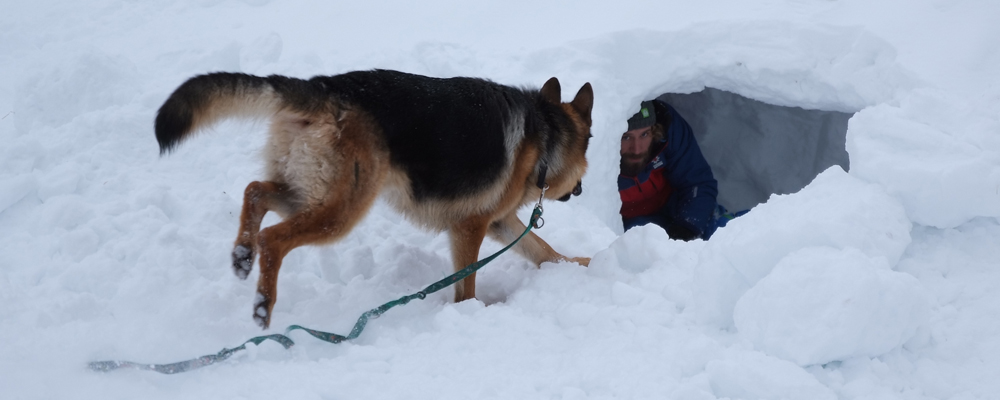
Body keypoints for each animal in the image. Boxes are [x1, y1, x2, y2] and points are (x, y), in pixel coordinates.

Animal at [156, 69, 592, 328]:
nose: (582, 190)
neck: (547, 134)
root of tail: (325, 88)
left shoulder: (500, 223)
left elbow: (543, 249)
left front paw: (579, 265)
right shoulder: (471, 227)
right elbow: (467, 283)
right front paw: (468, 314)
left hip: (310, 193)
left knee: (255, 191)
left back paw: (243, 255)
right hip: (340, 211)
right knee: (274, 238)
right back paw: (264, 303)